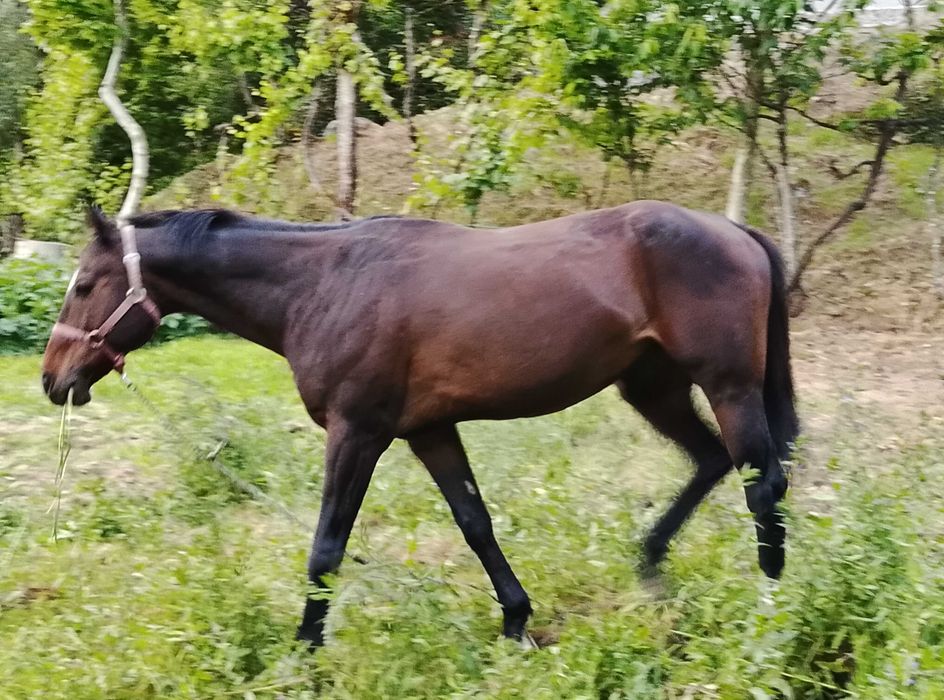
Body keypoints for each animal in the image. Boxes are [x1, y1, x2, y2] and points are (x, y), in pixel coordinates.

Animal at [42, 201, 798, 648]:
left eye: (83, 284)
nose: (52, 380)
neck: (322, 285)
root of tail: (735, 231)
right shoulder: (429, 431)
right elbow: (476, 525)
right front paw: (516, 622)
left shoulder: (357, 432)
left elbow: (326, 548)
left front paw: (305, 649)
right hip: (653, 388)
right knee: (713, 463)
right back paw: (651, 569)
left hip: (726, 386)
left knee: (761, 482)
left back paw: (770, 610)